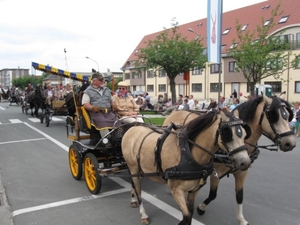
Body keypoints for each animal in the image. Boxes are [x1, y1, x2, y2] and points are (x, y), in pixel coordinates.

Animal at [121, 109, 251, 225]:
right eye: (227, 134)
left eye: (245, 134)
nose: (245, 162)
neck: (188, 154)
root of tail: (132, 128)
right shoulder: (176, 190)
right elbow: (187, 216)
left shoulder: (194, 189)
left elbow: (190, 212)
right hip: (134, 168)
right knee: (138, 190)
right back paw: (143, 214)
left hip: (138, 170)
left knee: (134, 185)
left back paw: (133, 199)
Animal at [162, 93, 296, 225]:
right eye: (274, 116)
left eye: (288, 115)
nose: (290, 143)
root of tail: (176, 111)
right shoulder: (216, 172)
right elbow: (213, 194)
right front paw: (201, 208)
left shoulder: (242, 172)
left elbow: (239, 196)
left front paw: (241, 219)